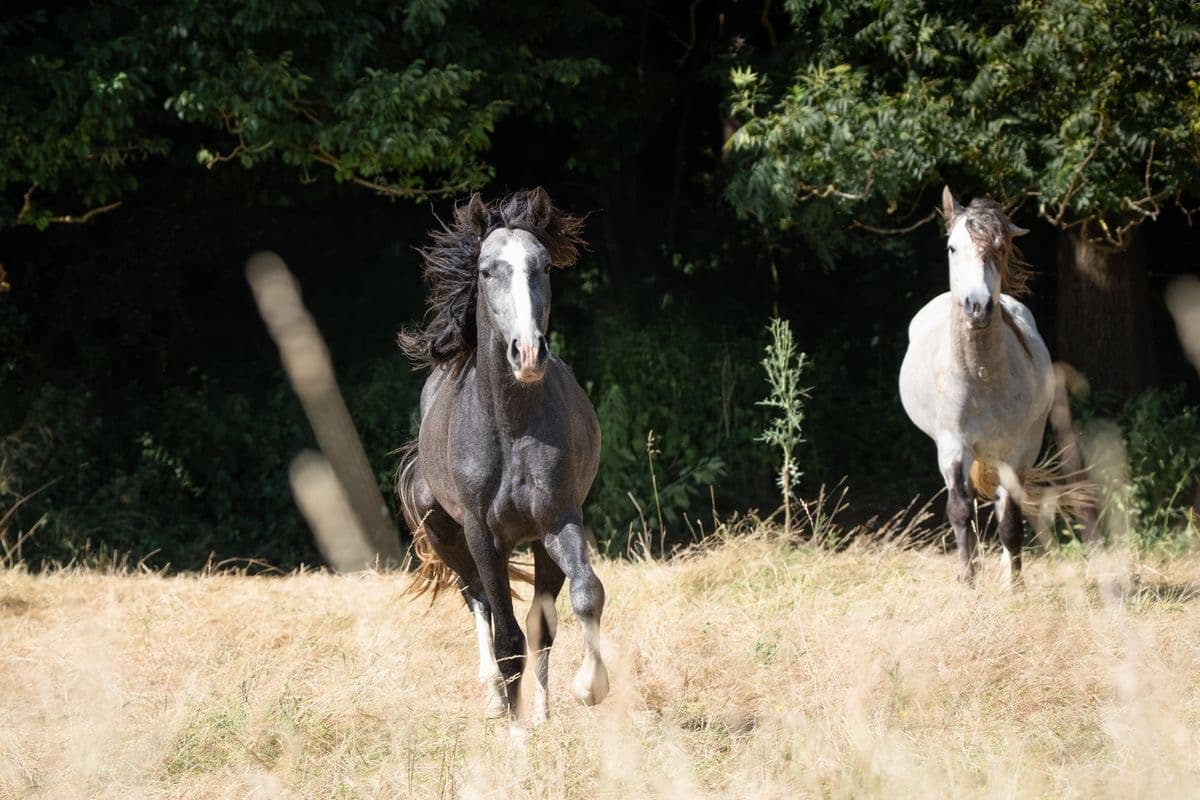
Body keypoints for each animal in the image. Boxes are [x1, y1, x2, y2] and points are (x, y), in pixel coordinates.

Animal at [395, 188, 608, 724]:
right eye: (487, 270)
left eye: (545, 267)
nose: (528, 353)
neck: (510, 430)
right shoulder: (481, 533)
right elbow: (506, 637)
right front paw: (514, 733)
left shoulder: (558, 519)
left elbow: (583, 595)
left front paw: (589, 687)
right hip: (447, 535)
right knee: (478, 601)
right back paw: (494, 699)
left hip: (534, 541)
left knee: (539, 619)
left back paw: (541, 712)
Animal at [899, 187, 1054, 587]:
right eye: (952, 247)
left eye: (999, 247)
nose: (977, 307)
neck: (980, 376)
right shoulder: (953, 445)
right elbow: (959, 510)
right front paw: (968, 582)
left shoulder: (1017, 451)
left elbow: (1011, 519)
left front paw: (1014, 585)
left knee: (1001, 505)